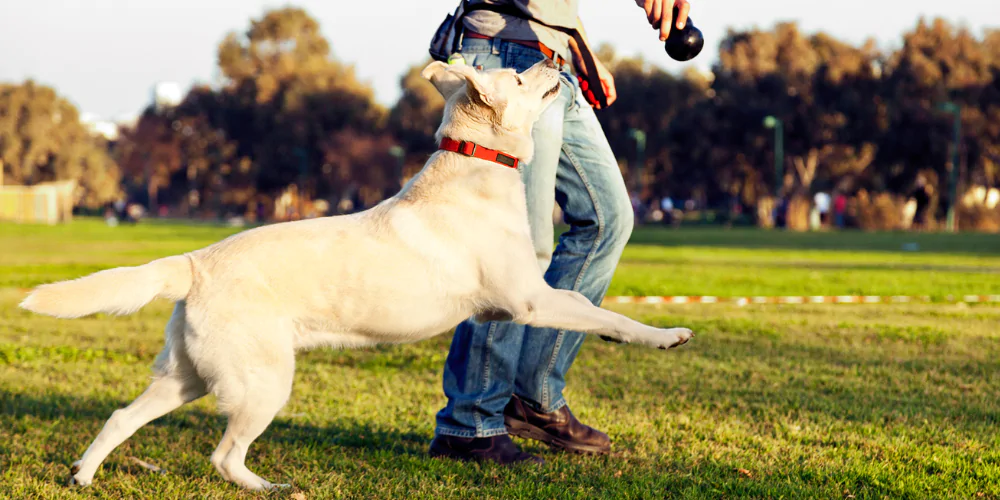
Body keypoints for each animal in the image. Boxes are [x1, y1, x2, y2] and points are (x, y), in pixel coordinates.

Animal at [23, 57, 696, 488]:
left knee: (121, 417)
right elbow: (603, 312)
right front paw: (665, 335)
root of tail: (193, 262)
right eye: (519, 74)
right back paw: (269, 487)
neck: (477, 165)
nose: (558, 61)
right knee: (224, 455)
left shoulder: (527, 301)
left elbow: (590, 314)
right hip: (263, 382)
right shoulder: (530, 300)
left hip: (187, 376)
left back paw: (83, 475)